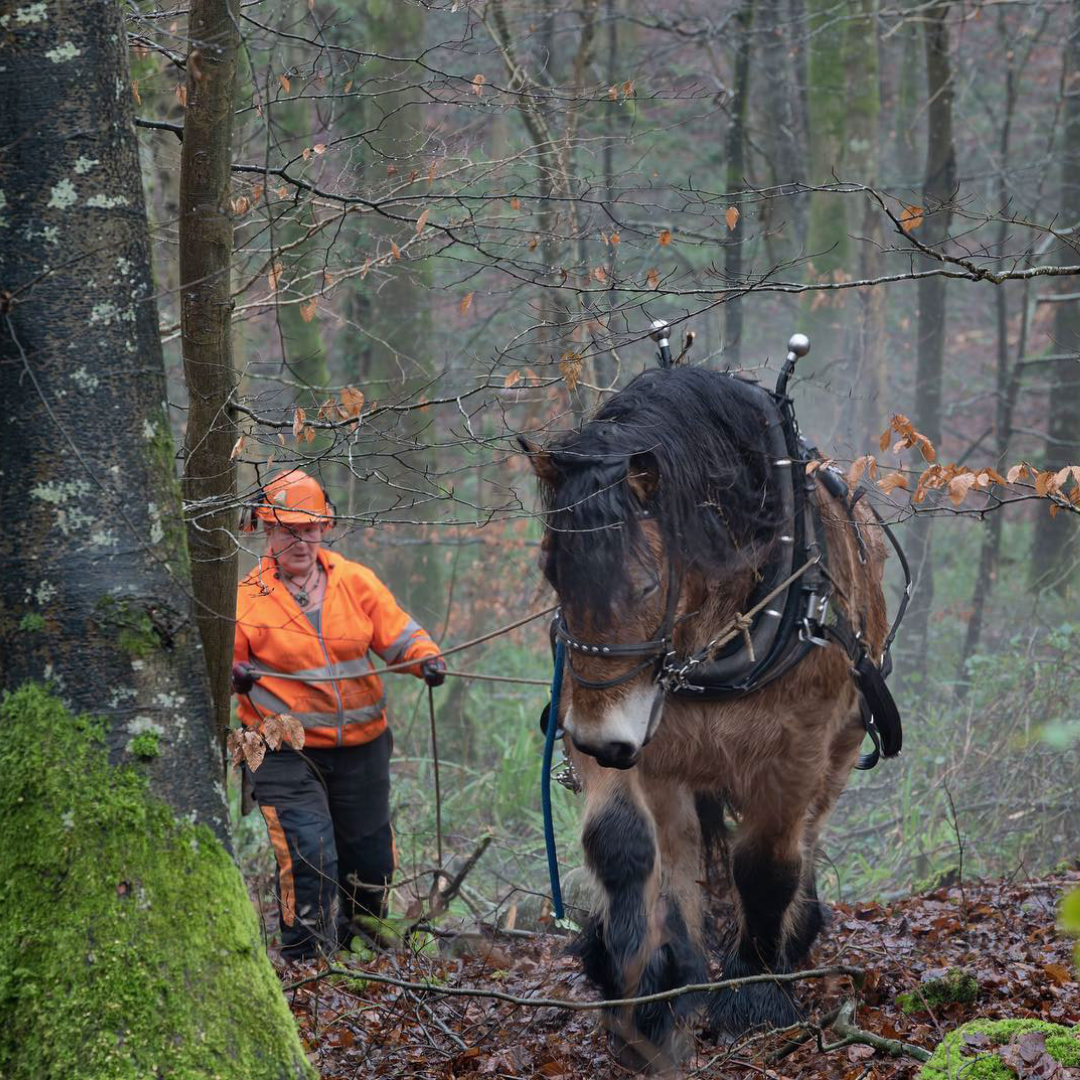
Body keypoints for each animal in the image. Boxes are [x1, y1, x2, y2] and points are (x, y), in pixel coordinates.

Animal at [520, 365, 885, 1071]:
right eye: (551, 571)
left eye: (642, 584)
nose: (600, 741)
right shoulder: (633, 737)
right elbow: (627, 847)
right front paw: (647, 992)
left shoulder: (796, 749)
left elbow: (767, 865)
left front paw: (756, 994)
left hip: (842, 744)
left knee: (805, 836)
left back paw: (794, 940)